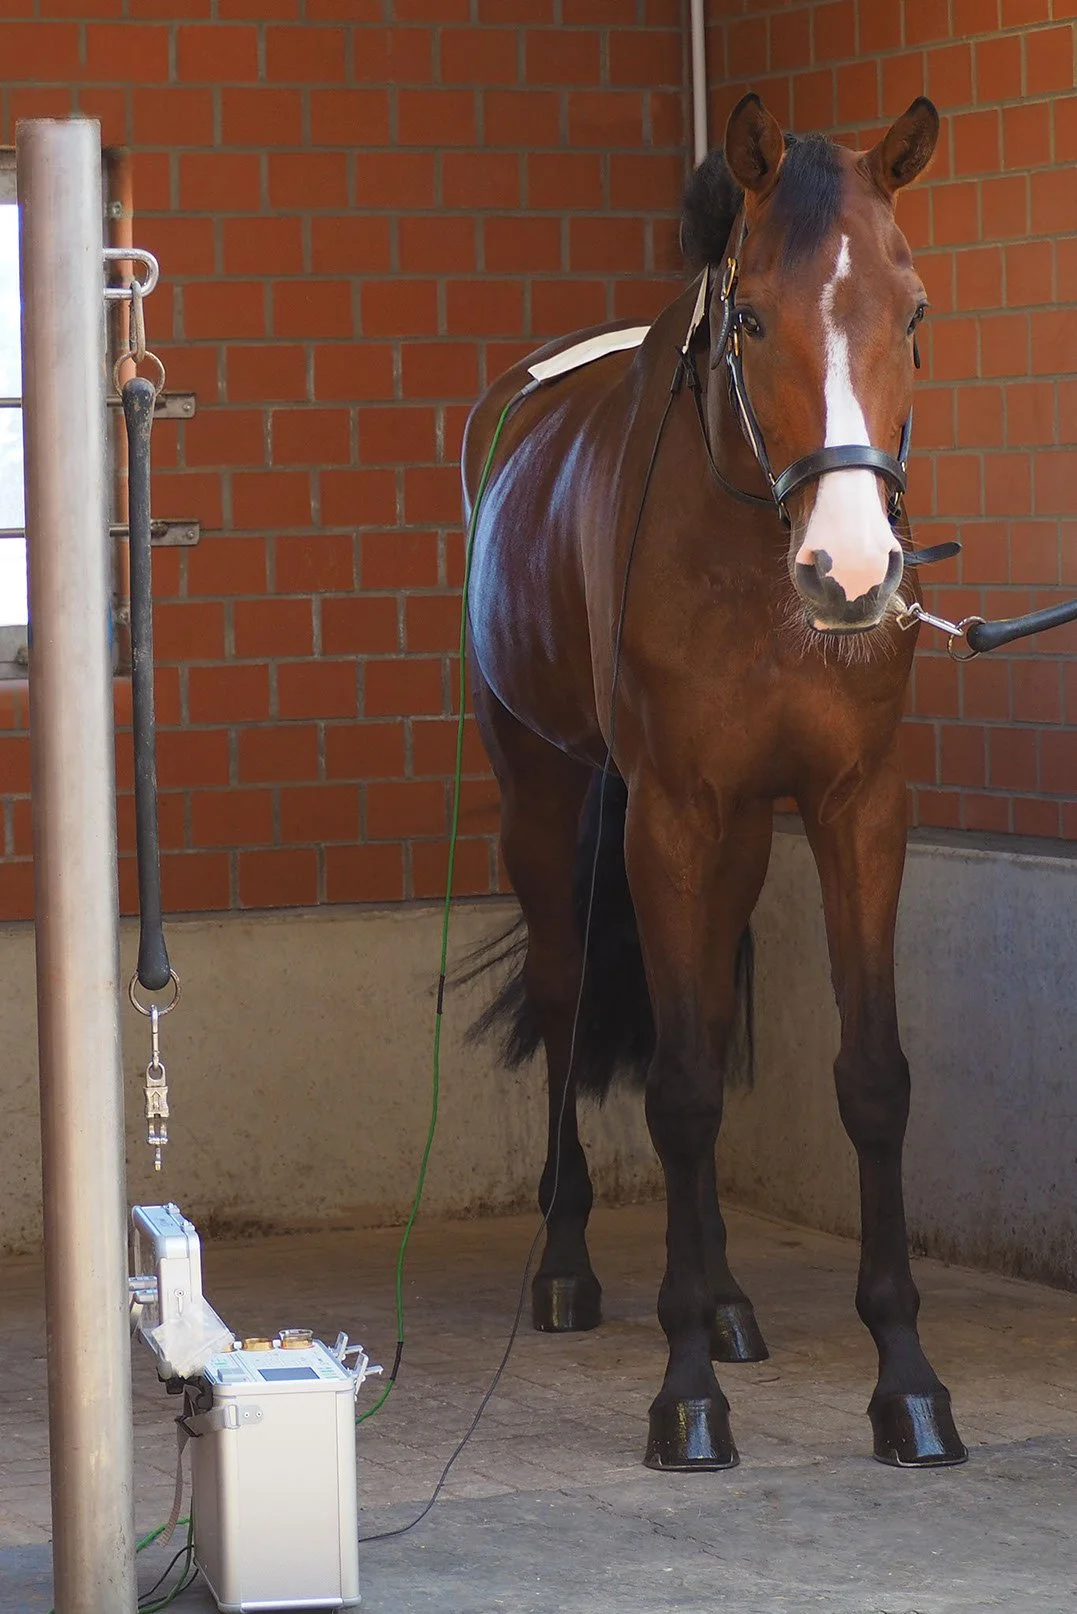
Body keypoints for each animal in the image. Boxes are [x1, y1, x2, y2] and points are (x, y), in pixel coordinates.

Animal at [460, 93, 967, 1473]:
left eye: (912, 312)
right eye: (750, 319)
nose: (852, 573)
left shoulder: (857, 808)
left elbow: (874, 1083)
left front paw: (909, 1386)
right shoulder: (672, 817)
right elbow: (681, 1090)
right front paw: (686, 1395)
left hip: (739, 835)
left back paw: (733, 1299)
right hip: (545, 798)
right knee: (571, 1001)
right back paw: (571, 1272)